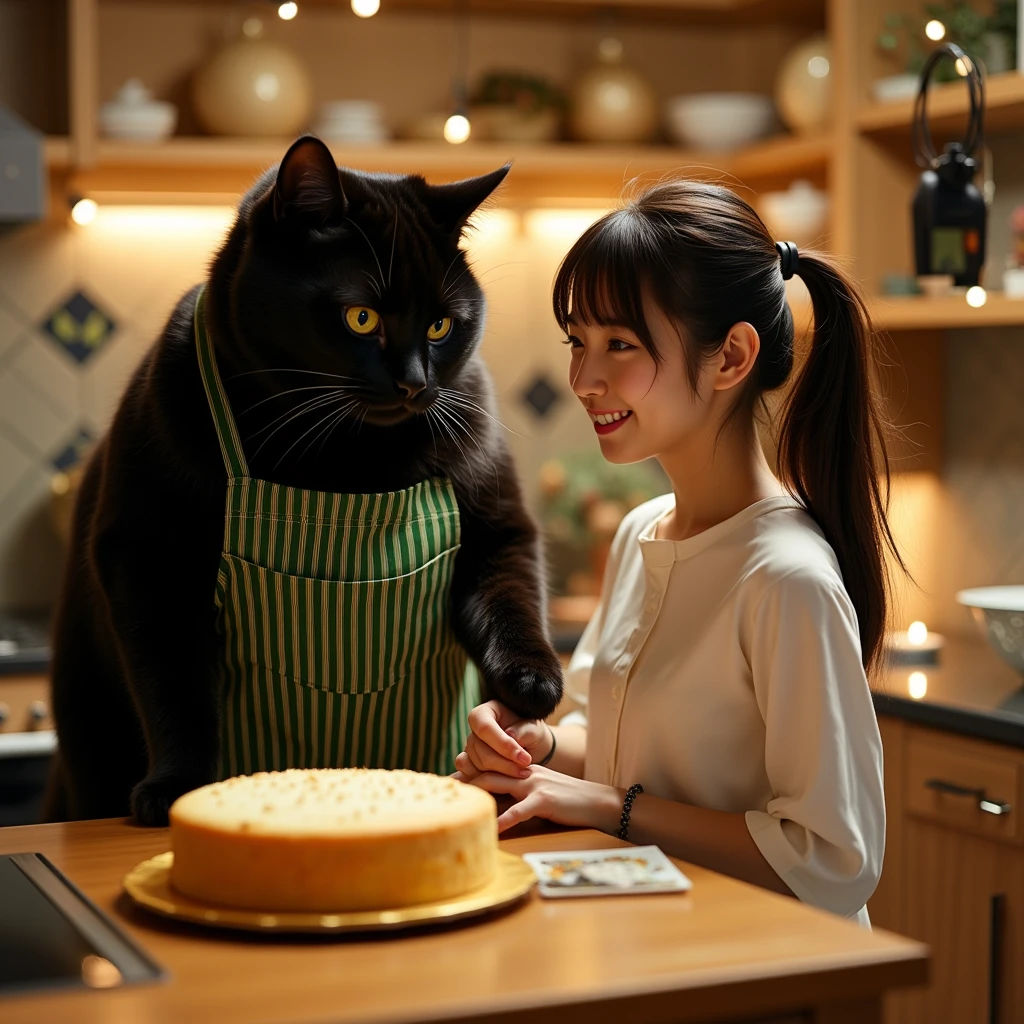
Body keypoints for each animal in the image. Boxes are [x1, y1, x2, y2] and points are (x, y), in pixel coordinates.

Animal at [46, 138, 561, 823]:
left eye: (441, 327)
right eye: (361, 317)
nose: (415, 383)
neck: (341, 454)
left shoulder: (498, 523)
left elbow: (513, 600)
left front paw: (531, 688)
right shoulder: (145, 558)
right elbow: (173, 688)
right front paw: (174, 786)